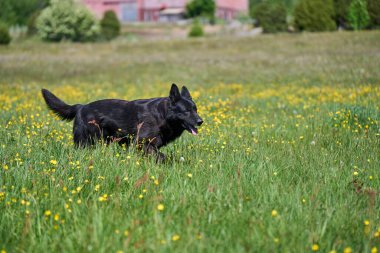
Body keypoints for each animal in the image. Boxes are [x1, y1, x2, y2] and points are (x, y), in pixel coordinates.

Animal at [41, 84, 202, 161]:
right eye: (186, 111)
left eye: (195, 109)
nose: (201, 121)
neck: (162, 115)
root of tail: (80, 107)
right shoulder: (142, 143)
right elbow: (161, 156)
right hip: (87, 142)